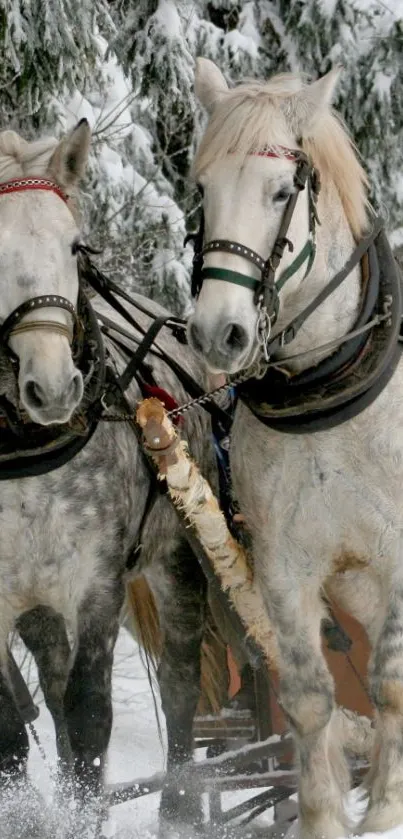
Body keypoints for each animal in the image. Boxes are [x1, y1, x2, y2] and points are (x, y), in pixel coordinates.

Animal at [0, 121, 216, 836]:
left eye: (74, 246)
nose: (54, 387)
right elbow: (14, 728)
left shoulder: (97, 583)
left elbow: (92, 715)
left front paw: (84, 813)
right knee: (52, 684)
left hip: (179, 560)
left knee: (178, 681)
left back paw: (180, 806)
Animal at [189, 59, 403, 839]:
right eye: (202, 189)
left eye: (283, 191)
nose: (216, 333)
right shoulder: (284, 564)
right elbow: (310, 698)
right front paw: (322, 817)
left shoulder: (397, 555)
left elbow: (389, 683)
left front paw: (386, 810)